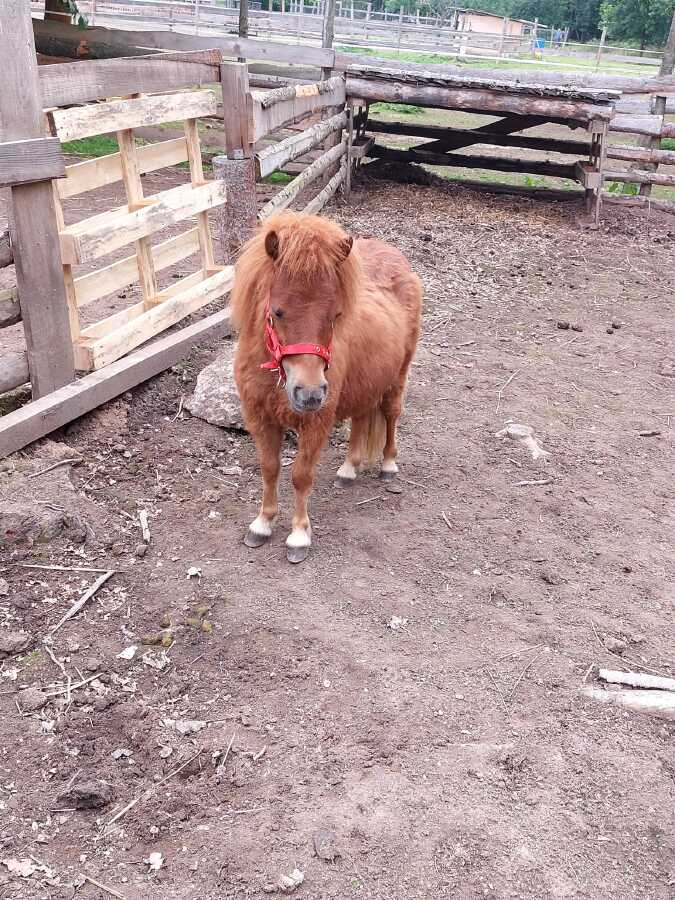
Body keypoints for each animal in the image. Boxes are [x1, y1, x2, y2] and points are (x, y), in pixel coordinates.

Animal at [230, 211, 422, 563]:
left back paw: (388, 465)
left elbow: (301, 475)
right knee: (360, 420)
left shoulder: (315, 422)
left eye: (335, 315)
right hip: (365, 384)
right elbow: (269, 468)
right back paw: (348, 470)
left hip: (396, 379)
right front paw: (262, 524)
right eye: (277, 311)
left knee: (391, 416)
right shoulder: (260, 419)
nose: (310, 393)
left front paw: (298, 536)